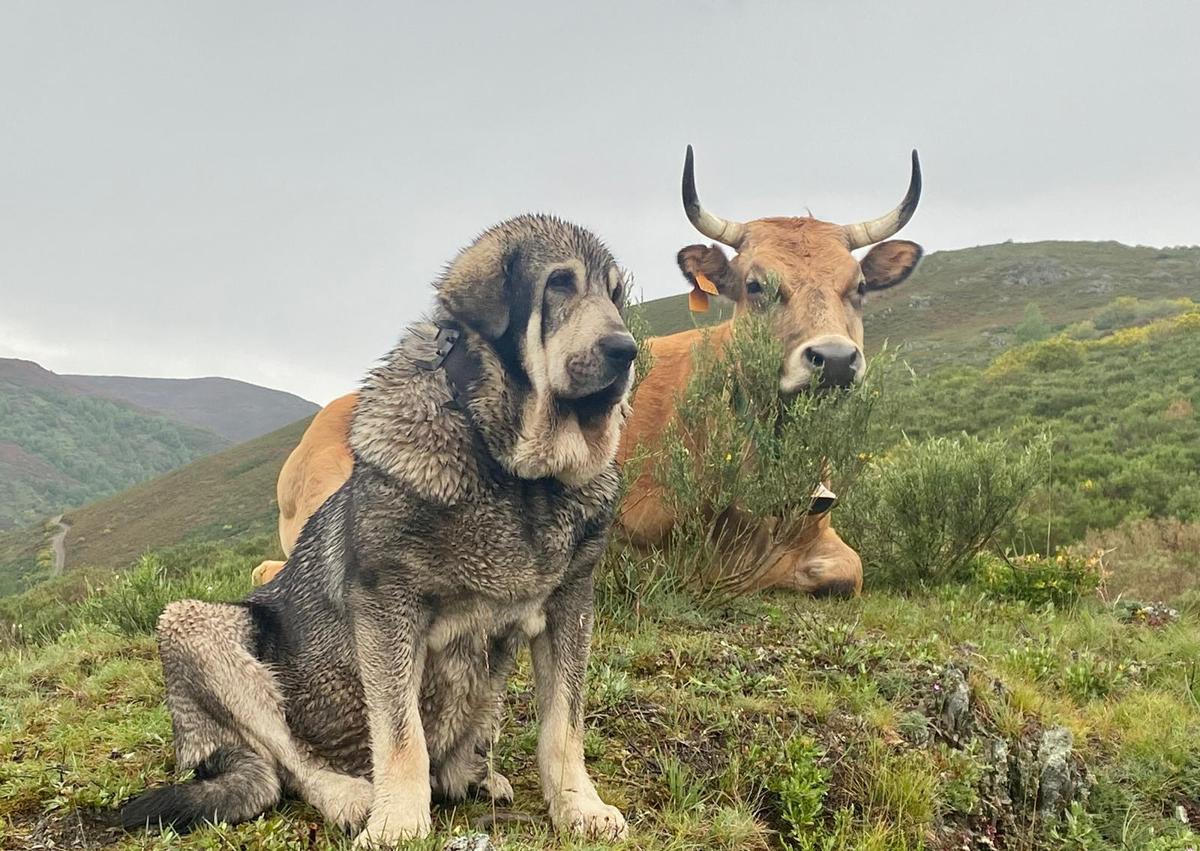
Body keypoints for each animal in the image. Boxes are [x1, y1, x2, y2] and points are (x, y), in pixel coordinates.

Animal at [121, 212, 638, 844]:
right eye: (560, 284)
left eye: (615, 294)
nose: (626, 350)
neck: (513, 473)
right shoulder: (386, 609)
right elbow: (400, 733)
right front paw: (397, 823)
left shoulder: (570, 606)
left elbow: (564, 725)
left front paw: (578, 806)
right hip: (195, 626)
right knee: (286, 756)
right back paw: (350, 796)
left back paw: (472, 774)